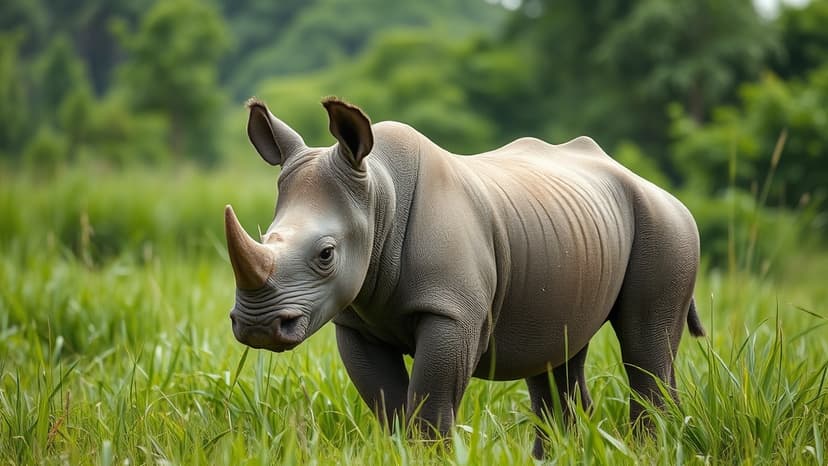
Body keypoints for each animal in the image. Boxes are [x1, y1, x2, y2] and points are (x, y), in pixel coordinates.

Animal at [225, 97, 704, 458]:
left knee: (645, 343)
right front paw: (402, 453)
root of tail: (658, 188)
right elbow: (389, 404)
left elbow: (431, 403)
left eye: (326, 255)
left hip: (667, 225)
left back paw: (649, 449)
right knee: (557, 357)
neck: (379, 195)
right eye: (264, 236)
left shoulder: (452, 314)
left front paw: (428, 456)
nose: (256, 326)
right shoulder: (356, 322)